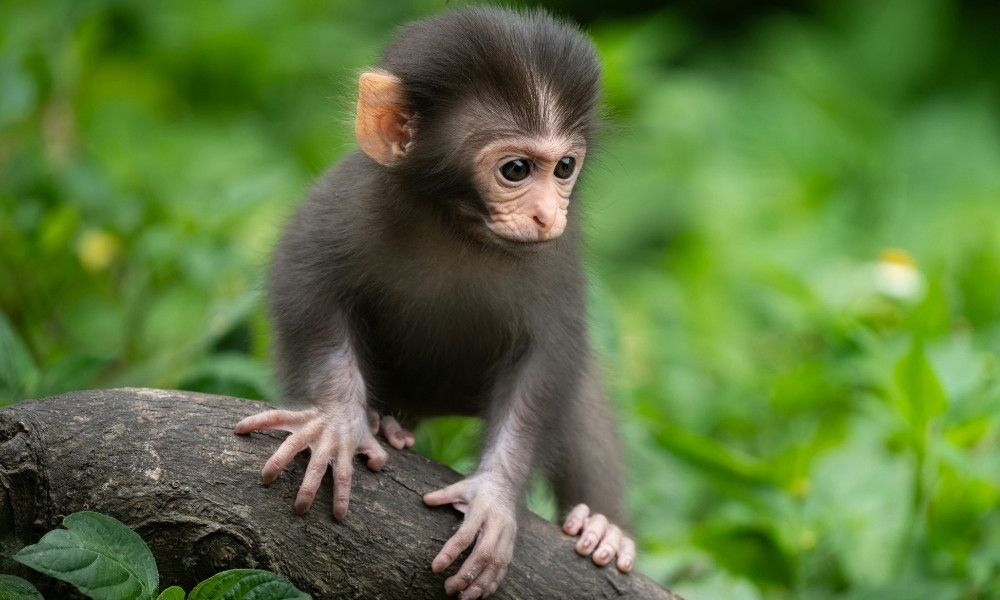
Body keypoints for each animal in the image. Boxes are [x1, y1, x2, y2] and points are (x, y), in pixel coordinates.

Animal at [236, 7, 632, 596]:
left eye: (564, 167)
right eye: (516, 170)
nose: (546, 215)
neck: (458, 226)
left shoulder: (556, 261)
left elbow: (549, 360)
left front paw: (494, 495)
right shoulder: (348, 201)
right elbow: (305, 280)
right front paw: (338, 421)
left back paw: (603, 526)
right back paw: (382, 422)